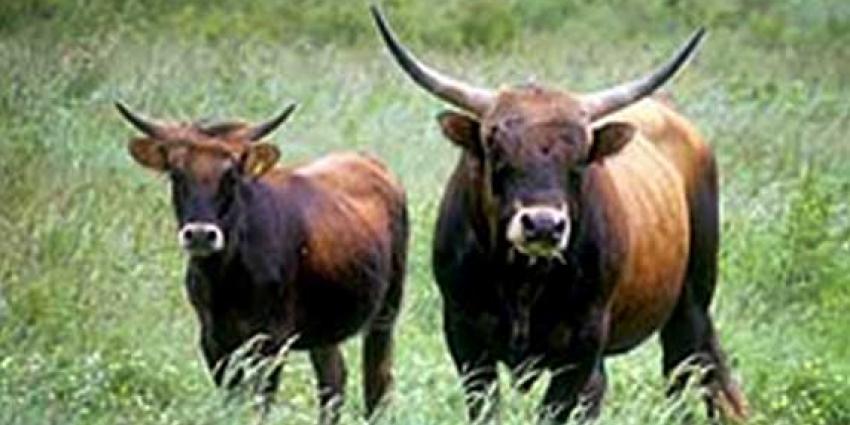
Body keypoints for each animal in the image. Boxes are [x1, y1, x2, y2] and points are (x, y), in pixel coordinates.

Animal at [116, 103, 408, 424]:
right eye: (176, 174)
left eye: (231, 175)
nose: (201, 235)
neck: (227, 279)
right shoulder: (213, 338)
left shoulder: (272, 339)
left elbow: (261, 404)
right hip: (325, 325)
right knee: (333, 381)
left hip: (386, 312)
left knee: (377, 384)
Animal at [372, 5, 748, 420]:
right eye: (494, 145)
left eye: (581, 157)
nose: (543, 225)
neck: (522, 281)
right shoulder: (463, 334)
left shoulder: (582, 345)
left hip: (692, 299)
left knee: (685, 370)